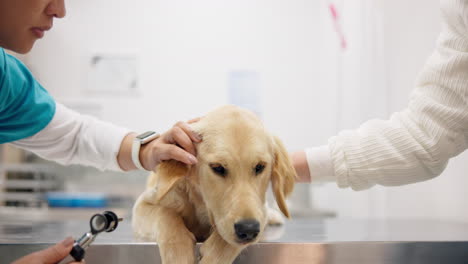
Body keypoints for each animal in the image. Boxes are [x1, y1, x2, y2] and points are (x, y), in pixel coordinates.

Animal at [131, 105, 296, 264]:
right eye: (218, 168)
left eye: (260, 167)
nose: (248, 230)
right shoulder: (143, 205)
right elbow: (166, 214)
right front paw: (178, 255)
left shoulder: (258, 212)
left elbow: (227, 240)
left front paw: (213, 255)